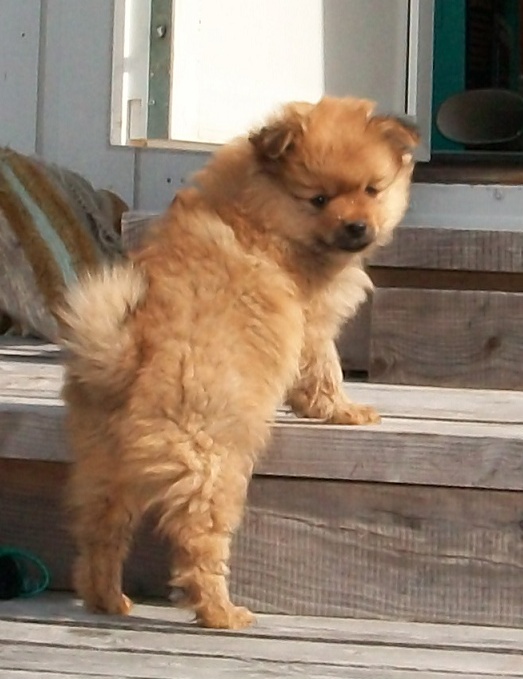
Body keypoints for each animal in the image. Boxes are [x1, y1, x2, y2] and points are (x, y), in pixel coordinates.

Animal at [59, 94, 420, 628]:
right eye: (319, 199)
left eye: (371, 190)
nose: (357, 226)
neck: (263, 211)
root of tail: (128, 356)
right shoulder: (312, 323)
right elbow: (325, 369)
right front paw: (344, 410)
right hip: (213, 460)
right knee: (198, 541)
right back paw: (222, 612)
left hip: (105, 466)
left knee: (101, 532)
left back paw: (108, 599)